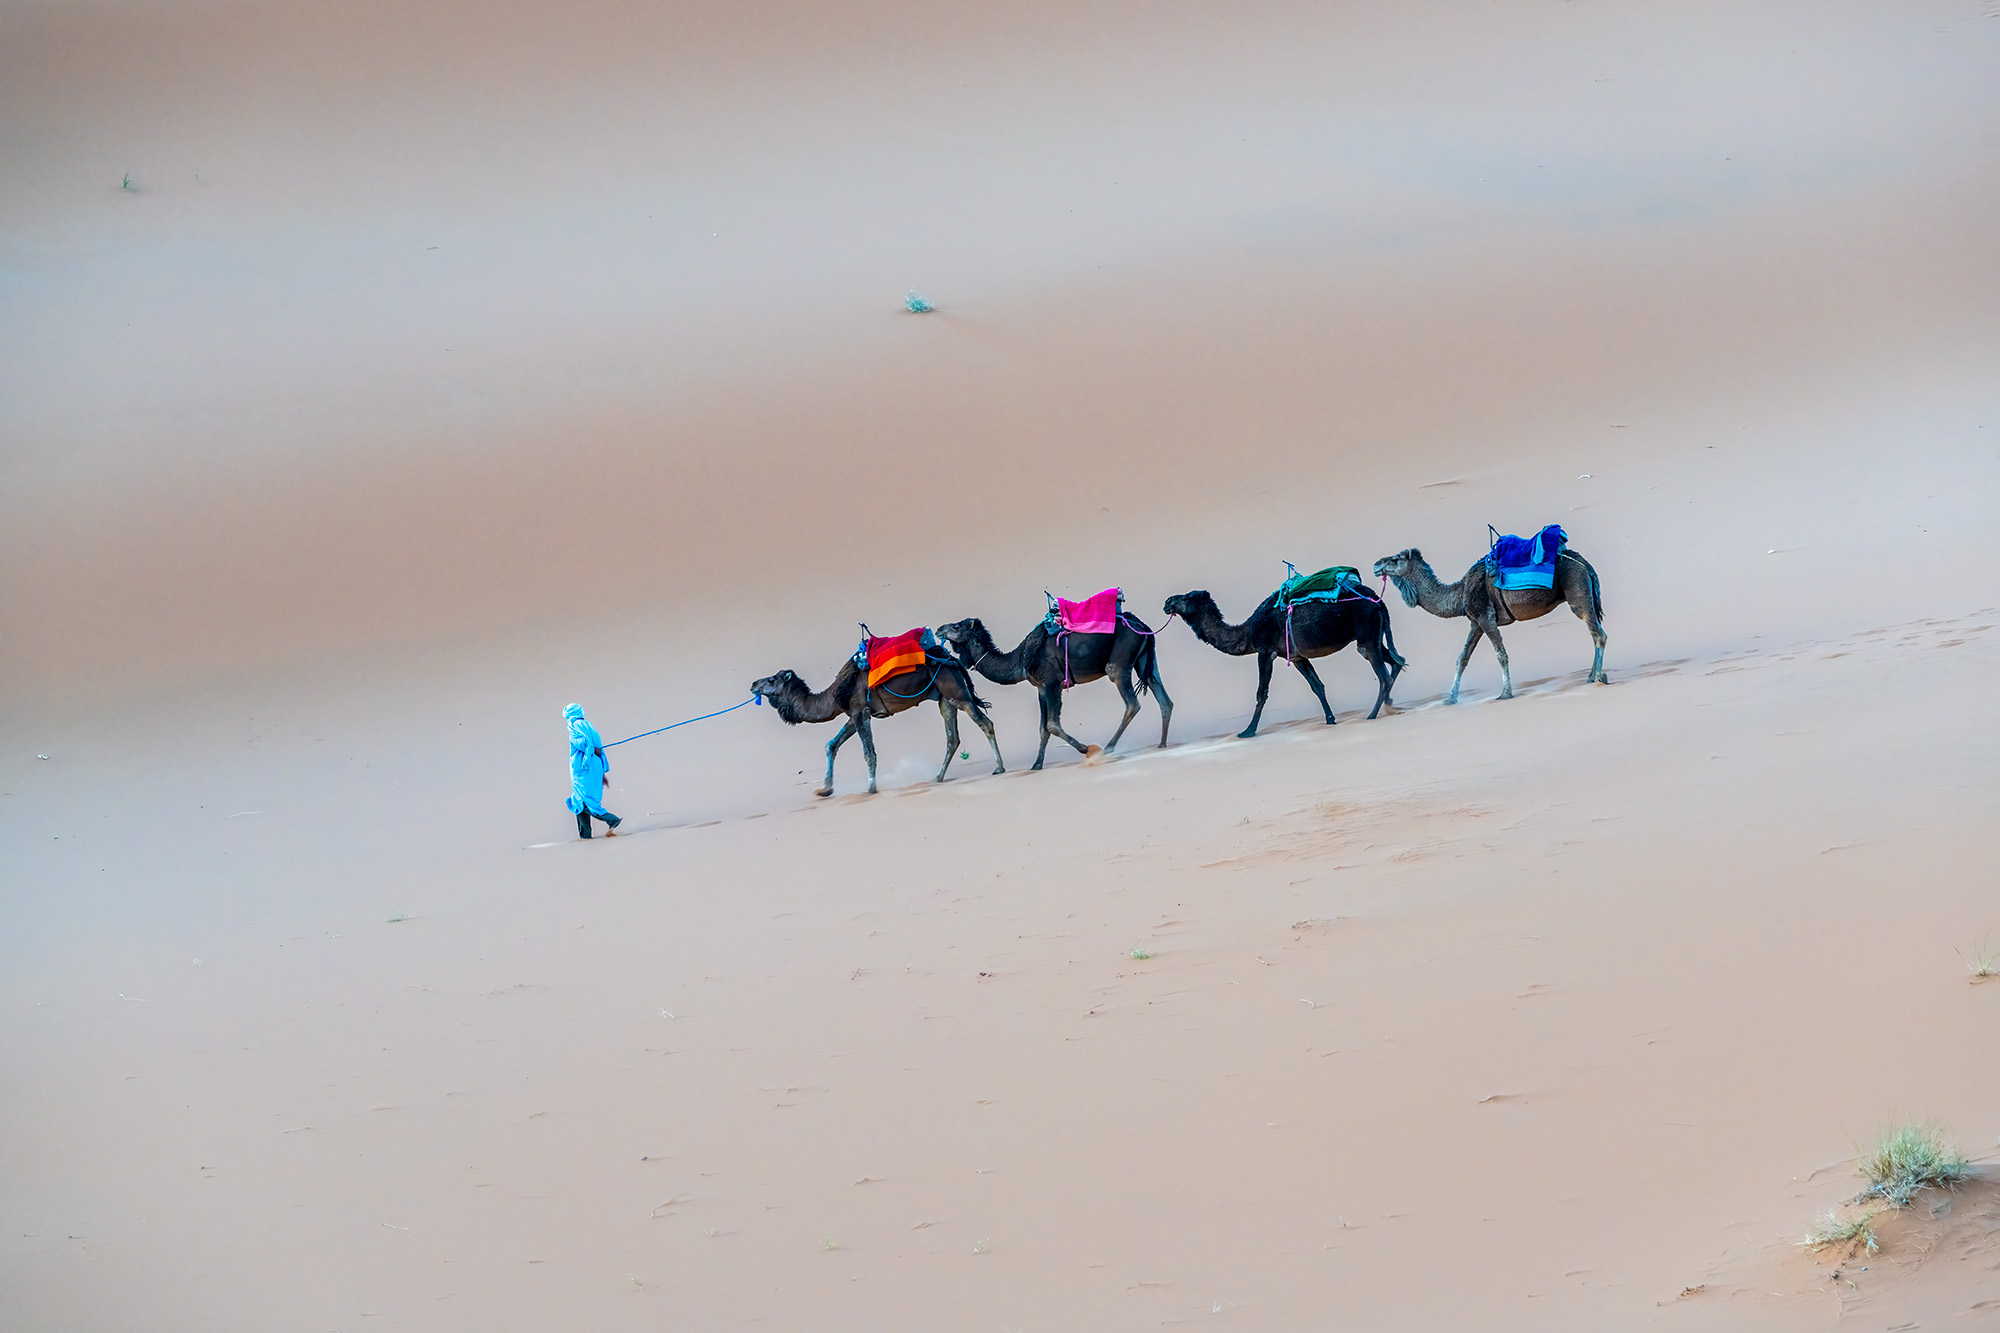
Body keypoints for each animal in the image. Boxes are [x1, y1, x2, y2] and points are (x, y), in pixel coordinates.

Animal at [751, 653, 1003, 797]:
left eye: (771, 679)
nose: (753, 684)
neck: (833, 695)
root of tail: (954, 660)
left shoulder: (860, 711)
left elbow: (868, 752)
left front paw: (870, 789)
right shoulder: (853, 715)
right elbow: (832, 745)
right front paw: (825, 790)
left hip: (956, 691)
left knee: (985, 723)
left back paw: (999, 768)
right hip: (944, 697)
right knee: (952, 737)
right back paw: (937, 778)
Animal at [936, 611, 1172, 770]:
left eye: (956, 627)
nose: (939, 629)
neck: (1020, 659)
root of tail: (1139, 622)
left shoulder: (1052, 683)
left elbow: (1052, 724)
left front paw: (1086, 749)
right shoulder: (1041, 688)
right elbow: (1043, 728)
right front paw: (1036, 765)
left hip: (1121, 660)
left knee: (1131, 702)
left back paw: (1107, 748)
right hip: (1144, 659)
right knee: (1164, 698)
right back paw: (1162, 744)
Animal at [1161, 587, 1404, 738]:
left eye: (1187, 597)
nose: (1167, 601)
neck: (1247, 632)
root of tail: (1378, 600)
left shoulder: (1264, 651)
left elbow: (1261, 693)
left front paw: (1247, 732)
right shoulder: (1297, 657)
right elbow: (1317, 686)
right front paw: (1330, 719)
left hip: (1367, 633)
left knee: (1383, 674)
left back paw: (1372, 715)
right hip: (1373, 634)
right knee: (1397, 661)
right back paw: (1390, 706)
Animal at [1370, 546, 1605, 703]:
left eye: (1395, 558)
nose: (1376, 564)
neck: (1460, 593)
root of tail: (1584, 563)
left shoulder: (1486, 616)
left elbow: (1501, 655)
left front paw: (1505, 693)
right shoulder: (1475, 623)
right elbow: (1462, 658)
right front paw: (1450, 698)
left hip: (1577, 591)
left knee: (1597, 633)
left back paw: (1599, 677)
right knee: (1596, 631)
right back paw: (1590, 676)